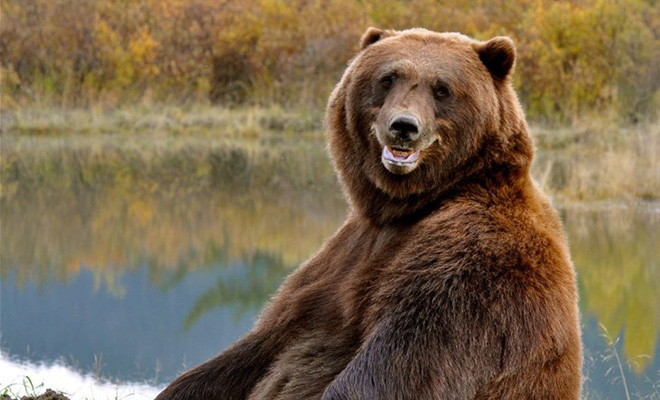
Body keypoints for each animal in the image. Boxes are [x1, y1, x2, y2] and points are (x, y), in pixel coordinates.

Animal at [157, 28, 580, 400]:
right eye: (388, 78)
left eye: (442, 88)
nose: (403, 126)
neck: (405, 206)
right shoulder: (341, 259)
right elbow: (259, 346)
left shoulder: (470, 266)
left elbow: (397, 364)